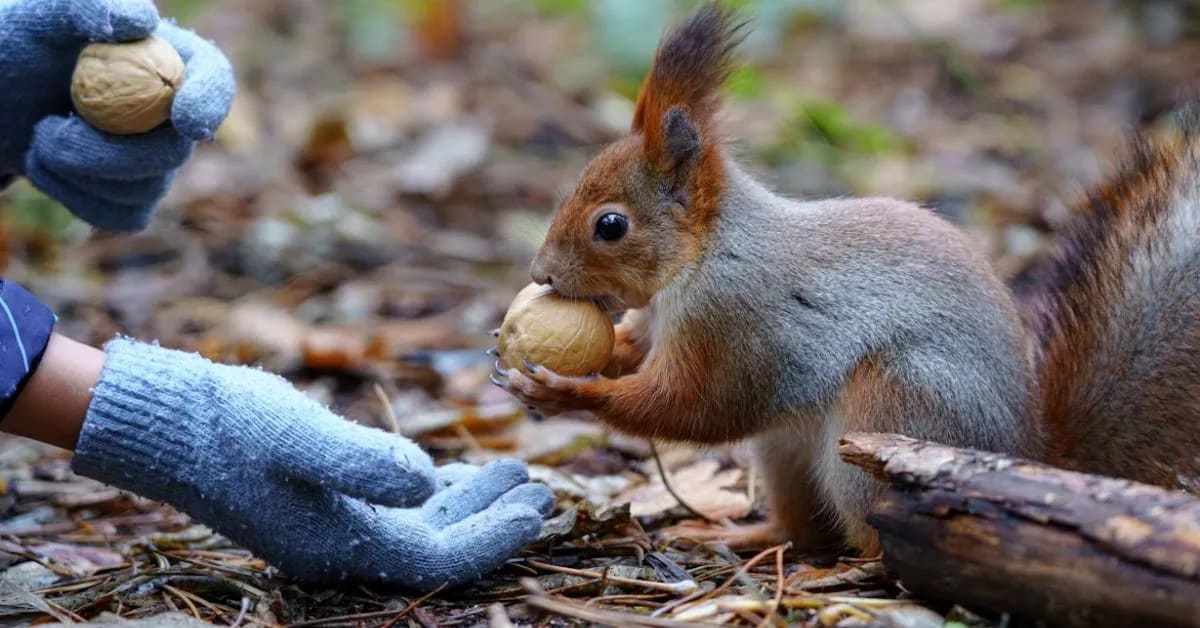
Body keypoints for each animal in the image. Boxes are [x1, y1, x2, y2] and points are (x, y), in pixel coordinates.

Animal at [496, 2, 1200, 556]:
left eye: (610, 225)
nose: (540, 272)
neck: (704, 257)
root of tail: (1025, 453)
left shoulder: (737, 320)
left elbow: (698, 406)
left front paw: (567, 391)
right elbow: (643, 356)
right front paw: (573, 356)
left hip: (890, 411)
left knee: (875, 539)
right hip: (787, 455)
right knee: (800, 528)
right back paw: (738, 533)